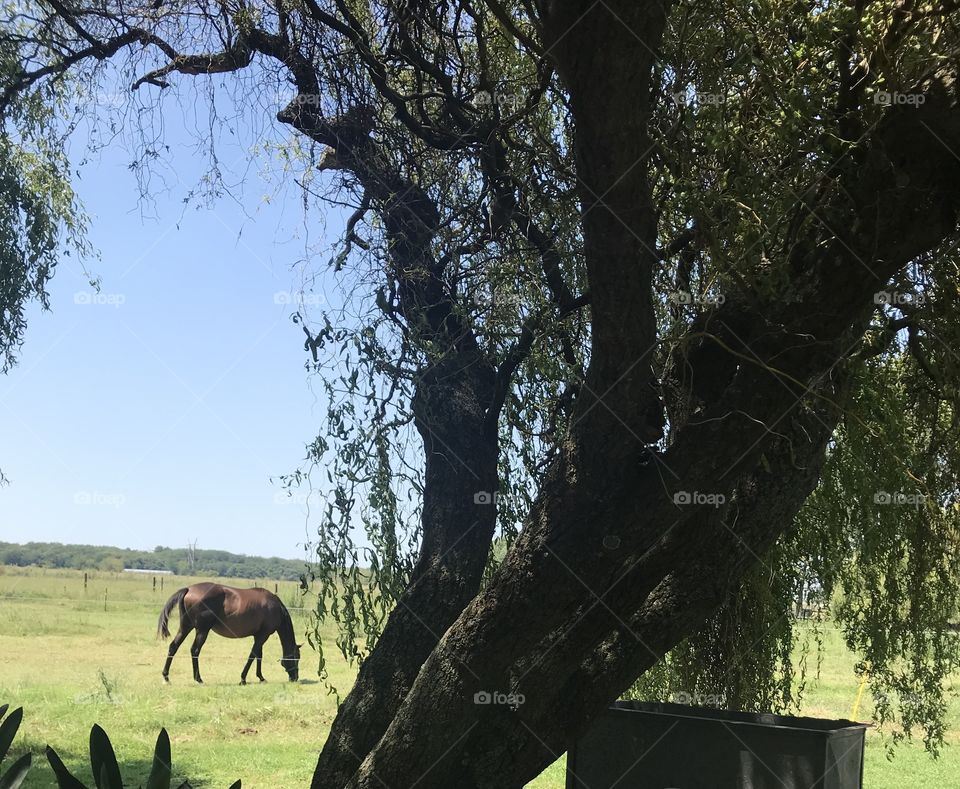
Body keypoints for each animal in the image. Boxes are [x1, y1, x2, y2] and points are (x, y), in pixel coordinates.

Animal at [157, 582, 301, 685]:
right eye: (297, 657)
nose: (295, 677)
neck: (275, 608)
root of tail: (188, 589)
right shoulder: (263, 635)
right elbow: (253, 655)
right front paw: (243, 679)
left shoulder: (258, 636)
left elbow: (259, 655)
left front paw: (260, 677)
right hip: (202, 630)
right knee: (195, 650)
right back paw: (198, 679)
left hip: (186, 627)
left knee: (173, 646)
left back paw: (166, 677)